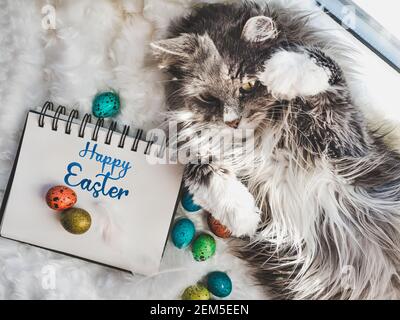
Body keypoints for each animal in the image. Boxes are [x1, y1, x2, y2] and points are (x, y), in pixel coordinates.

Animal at [150, 1, 400, 298]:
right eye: (208, 98)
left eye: (248, 85)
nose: (232, 121)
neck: (257, 138)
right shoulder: (188, 146)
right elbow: (201, 167)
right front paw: (243, 214)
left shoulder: (347, 140)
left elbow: (323, 62)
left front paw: (280, 70)